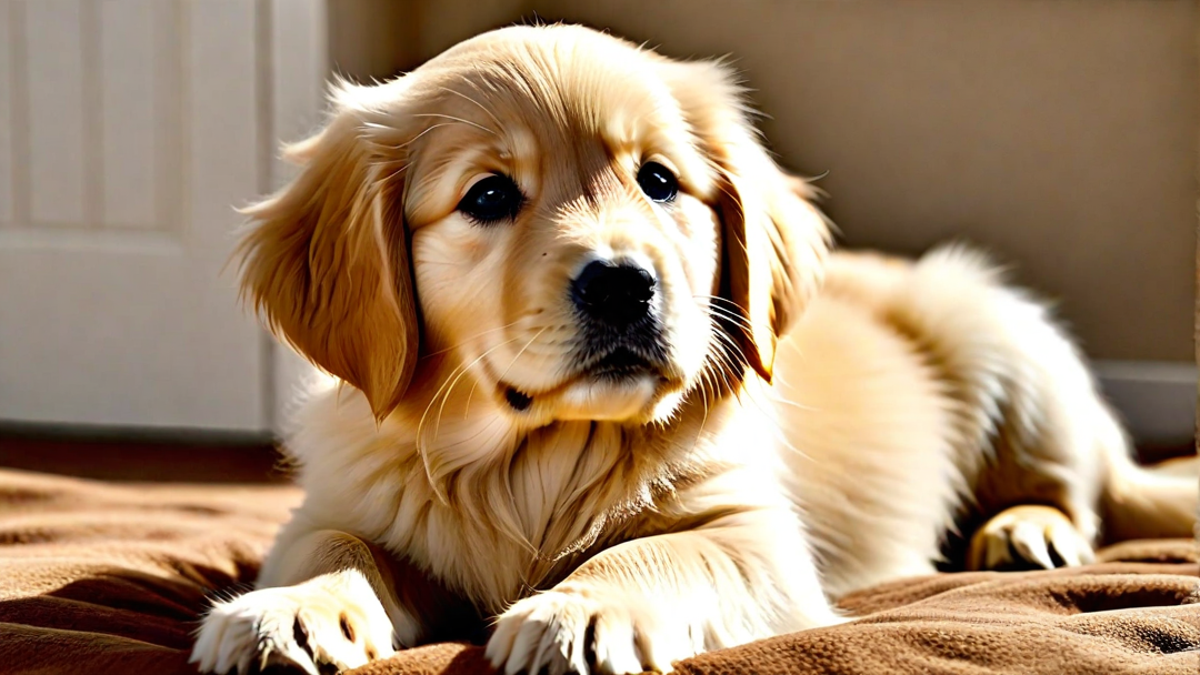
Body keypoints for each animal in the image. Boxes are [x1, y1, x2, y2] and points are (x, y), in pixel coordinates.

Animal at [189, 23, 1200, 672]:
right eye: (488, 195)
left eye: (660, 181)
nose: (622, 283)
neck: (533, 458)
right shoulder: (335, 507)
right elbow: (334, 549)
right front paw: (284, 612)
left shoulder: (753, 535)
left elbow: (655, 552)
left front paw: (579, 608)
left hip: (992, 332)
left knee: (1078, 489)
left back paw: (1027, 529)